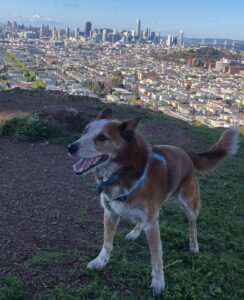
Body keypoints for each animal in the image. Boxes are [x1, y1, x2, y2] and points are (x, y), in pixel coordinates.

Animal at [67, 108, 239, 292]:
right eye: (84, 131)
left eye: (102, 137)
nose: (70, 147)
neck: (123, 171)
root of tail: (186, 153)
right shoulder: (111, 213)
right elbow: (107, 242)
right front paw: (101, 261)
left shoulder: (152, 223)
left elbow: (156, 256)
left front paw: (158, 281)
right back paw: (135, 232)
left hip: (190, 205)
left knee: (192, 225)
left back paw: (194, 245)